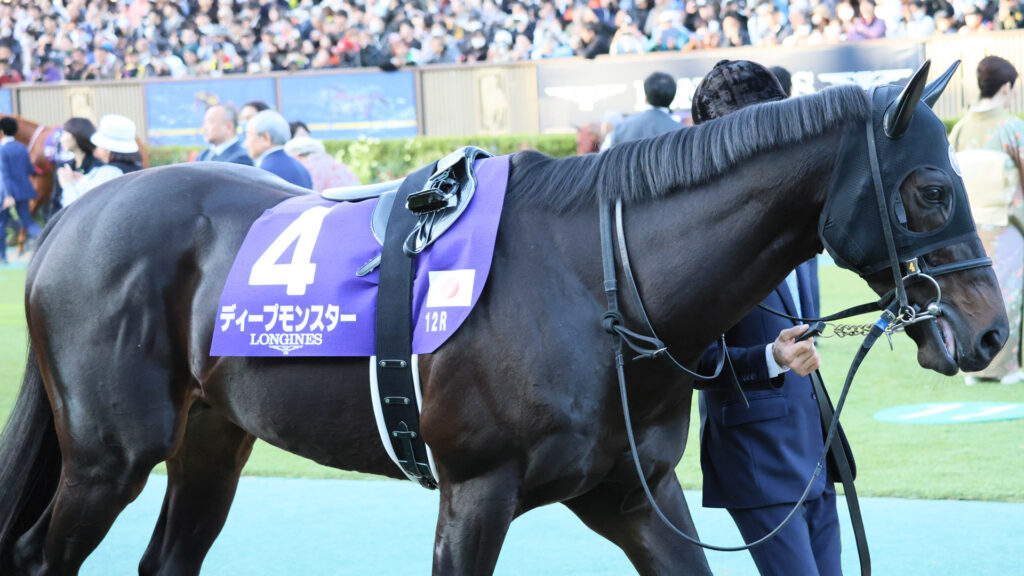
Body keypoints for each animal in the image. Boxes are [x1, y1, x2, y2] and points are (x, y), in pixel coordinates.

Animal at [0, 61, 1008, 575]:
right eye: (929, 188)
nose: (993, 332)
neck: (593, 282)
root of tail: (73, 220)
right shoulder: (474, 494)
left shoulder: (632, 494)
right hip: (108, 457)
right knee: (41, 558)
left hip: (210, 438)